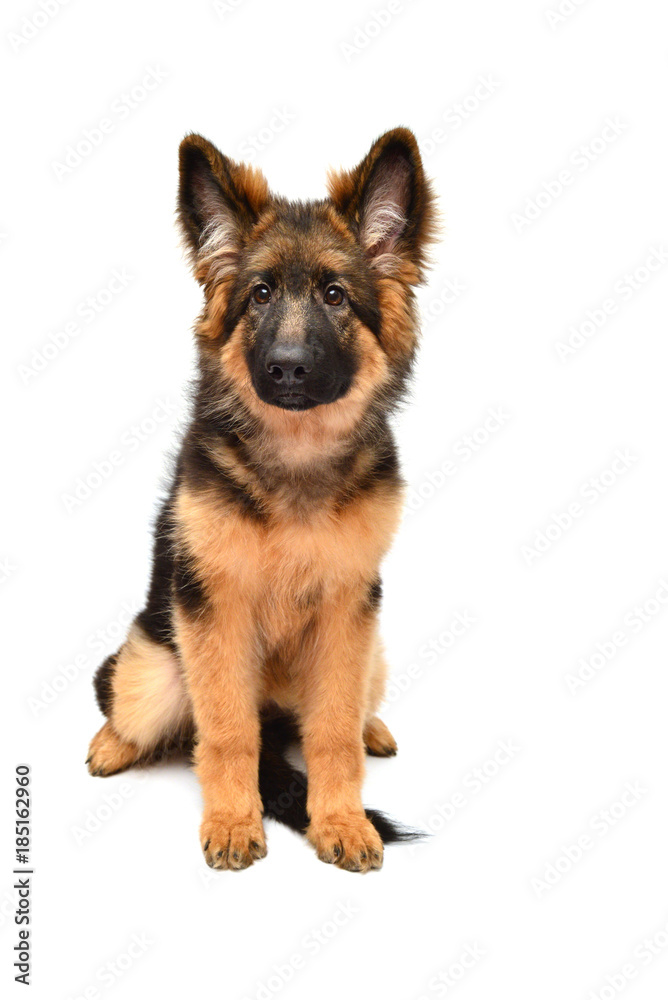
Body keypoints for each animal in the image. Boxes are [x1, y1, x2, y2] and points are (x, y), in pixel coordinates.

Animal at [86, 129, 436, 872]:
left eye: (335, 295)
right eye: (260, 295)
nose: (288, 368)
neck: (296, 456)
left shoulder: (347, 612)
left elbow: (332, 729)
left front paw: (341, 819)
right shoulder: (215, 610)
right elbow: (225, 731)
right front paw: (232, 821)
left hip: (374, 652)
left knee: (348, 712)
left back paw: (374, 728)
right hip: (154, 667)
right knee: (131, 704)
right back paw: (111, 744)